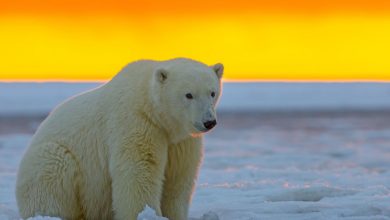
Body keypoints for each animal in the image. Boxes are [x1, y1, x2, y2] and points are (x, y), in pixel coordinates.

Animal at [16, 57, 222, 219]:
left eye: (212, 92)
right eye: (189, 94)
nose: (209, 122)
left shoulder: (180, 141)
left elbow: (179, 177)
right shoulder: (135, 122)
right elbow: (139, 171)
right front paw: (144, 213)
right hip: (51, 158)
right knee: (50, 177)